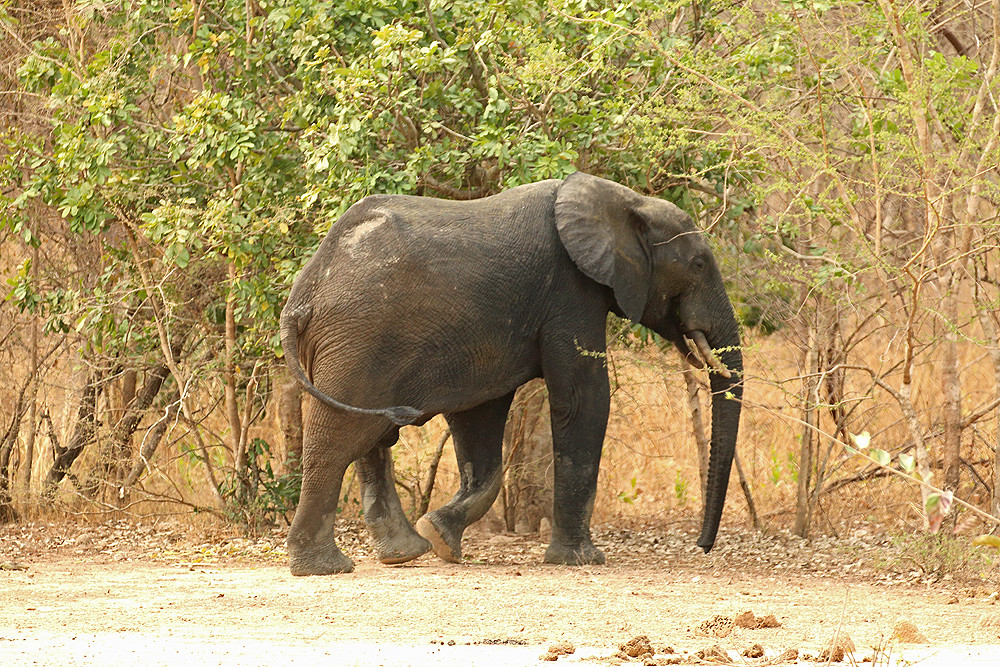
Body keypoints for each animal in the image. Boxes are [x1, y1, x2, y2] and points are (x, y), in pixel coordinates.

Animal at [282, 171, 744, 576]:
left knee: (371, 437)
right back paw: (324, 568)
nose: (702, 546)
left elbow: (480, 423)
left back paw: (403, 554)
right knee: (337, 439)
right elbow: (584, 401)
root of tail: (302, 294)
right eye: (698, 264)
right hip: (358, 340)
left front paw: (441, 538)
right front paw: (581, 560)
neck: (624, 200)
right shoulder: (569, 291)